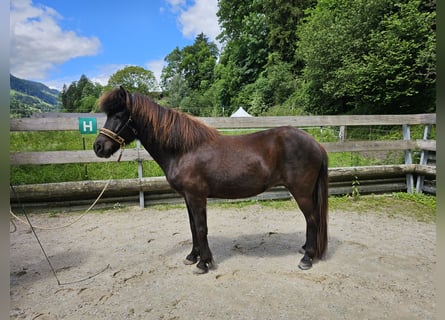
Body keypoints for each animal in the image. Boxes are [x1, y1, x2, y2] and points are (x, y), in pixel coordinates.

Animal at [93, 87, 328, 272]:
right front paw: (192, 256)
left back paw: (307, 258)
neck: (183, 150)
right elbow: (192, 227)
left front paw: (203, 263)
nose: (98, 147)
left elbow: (201, 228)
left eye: (119, 115)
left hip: (301, 192)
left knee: (312, 219)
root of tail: (316, 143)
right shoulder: (187, 197)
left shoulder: (197, 197)